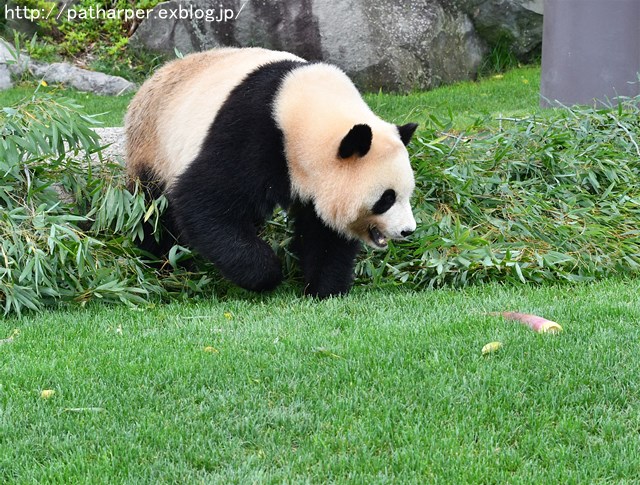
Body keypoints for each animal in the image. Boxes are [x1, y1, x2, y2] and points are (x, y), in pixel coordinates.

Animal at [125, 48, 420, 298]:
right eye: (387, 198)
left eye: (407, 194)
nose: (408, 231)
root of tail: (154, 76)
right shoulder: (252, 132)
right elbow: (202, 200)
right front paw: (267, 273)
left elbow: (324, 232)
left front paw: (324, 288)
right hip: (153, 148)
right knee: (153, 213)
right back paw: (162, 262)